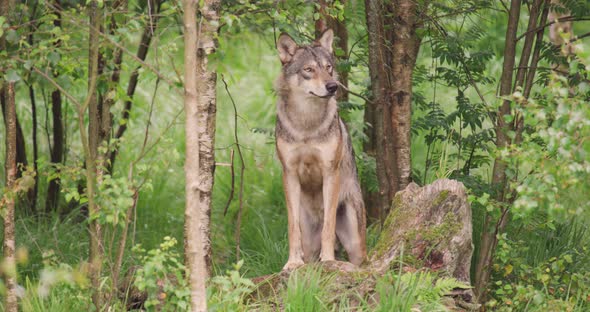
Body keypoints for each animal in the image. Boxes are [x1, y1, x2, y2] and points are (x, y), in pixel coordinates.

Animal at [276, 28, 368, 270]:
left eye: (328, 68)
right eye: (309, 70)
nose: (332, 86)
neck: (307, 125)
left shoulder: (330, 171)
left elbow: (329, 224)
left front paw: (328, 260)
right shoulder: (289, 173)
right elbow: (291, 227)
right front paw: (291, 263)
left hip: (356, 245)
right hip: (309, 243)